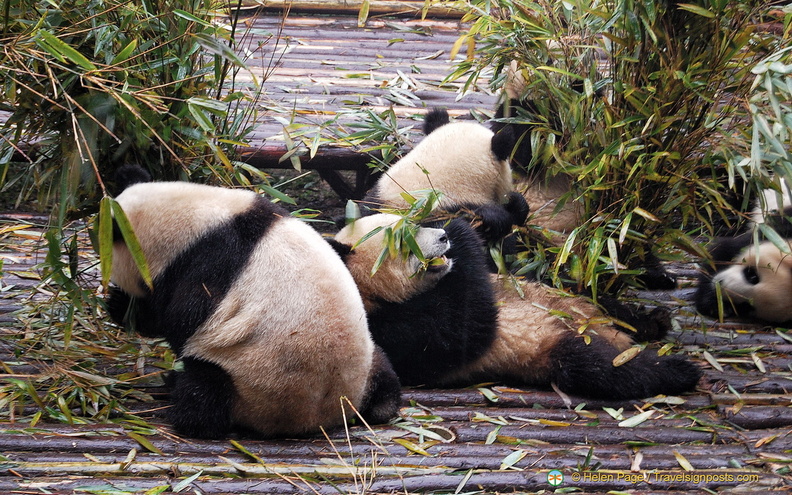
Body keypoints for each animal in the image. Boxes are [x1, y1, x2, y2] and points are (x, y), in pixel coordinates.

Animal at [106, 166, 402, 438]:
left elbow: (178, 319)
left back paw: (184, 407)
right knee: (384, 374)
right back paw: (383, 403)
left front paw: (120, 307)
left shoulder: (207, 264)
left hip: (245, 379)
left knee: (205, 388)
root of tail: (318, 418)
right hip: (366, 365)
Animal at [332, 213, 704, 400]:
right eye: (402, 240)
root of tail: (615, 336)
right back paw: (678, 369)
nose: (442, 238)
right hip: (555, 346)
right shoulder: (384, 326)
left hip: (584, 305)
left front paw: (473, 222)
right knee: (606, 368)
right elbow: (457, 332)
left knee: (605, 304)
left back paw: (653, 321)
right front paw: (461, 232)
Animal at [692, 180, 792, 324]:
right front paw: (713, 305)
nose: (718, 285)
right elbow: (721, 253)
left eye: (746, 307)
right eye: (752, 276)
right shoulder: (774, 231)